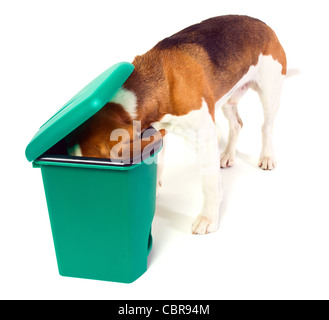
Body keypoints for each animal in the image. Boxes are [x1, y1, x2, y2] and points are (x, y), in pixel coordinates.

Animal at [66, 15, 288, 234]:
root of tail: (263, 23)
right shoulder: (157, 130)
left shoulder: (206, 136)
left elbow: (209, 184)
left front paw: (208, 217)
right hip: (229, 99)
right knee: (237, 124)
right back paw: (227, 155)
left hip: (269, 92)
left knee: (266, 126)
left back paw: (267, 157)